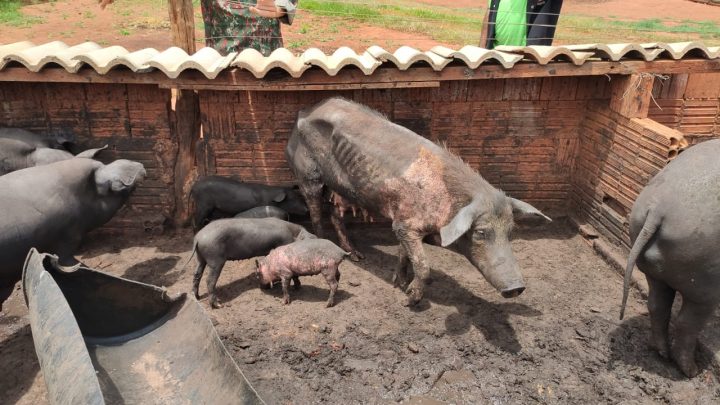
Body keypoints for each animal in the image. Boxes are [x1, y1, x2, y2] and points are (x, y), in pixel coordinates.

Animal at [284, 98, 548, 306]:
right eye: (480, 232)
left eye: (511, 231)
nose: (516, 288)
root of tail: (305, 110)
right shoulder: (405, 225)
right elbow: (423, 265)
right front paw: (410, 300)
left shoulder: (403, 219)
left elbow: (404, 255)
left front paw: (398, 283)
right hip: (307, 175)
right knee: (316, 213)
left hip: (341, 189)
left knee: (336, 214)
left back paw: (357, 256)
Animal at [620, 138, 720, 376]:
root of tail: (659, 208)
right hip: (705, 277)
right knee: (687, 322)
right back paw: (691, 371)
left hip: (652, 262)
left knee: (657, 304)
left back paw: (660, 352)